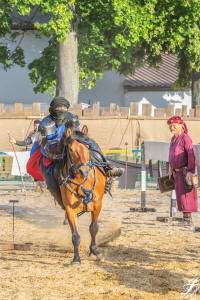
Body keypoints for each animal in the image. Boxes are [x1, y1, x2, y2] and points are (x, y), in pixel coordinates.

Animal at [59, 125, 106, 264]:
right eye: (70, 149)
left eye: (87, 147)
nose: (84, 171)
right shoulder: (70, 209)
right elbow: (75, 235)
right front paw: (76, 259)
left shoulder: (97, 206)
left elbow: (93, 228)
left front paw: (94, 252)